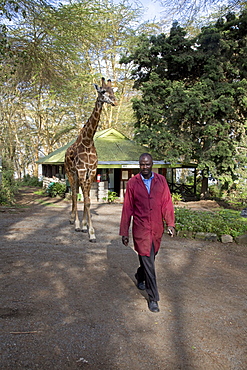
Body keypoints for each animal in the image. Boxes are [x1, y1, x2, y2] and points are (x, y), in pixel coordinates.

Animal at [64, 76, 116, 241]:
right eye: (103, 91)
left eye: (113, 91)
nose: (114, 101)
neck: (88, 141)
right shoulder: (81, 170)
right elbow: (85, 200)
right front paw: (90, 232)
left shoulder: (91, 171)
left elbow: (88, 200)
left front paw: (86, 226)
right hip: (70, 173)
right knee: (74, 194)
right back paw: (73, 222)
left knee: (80, 193)